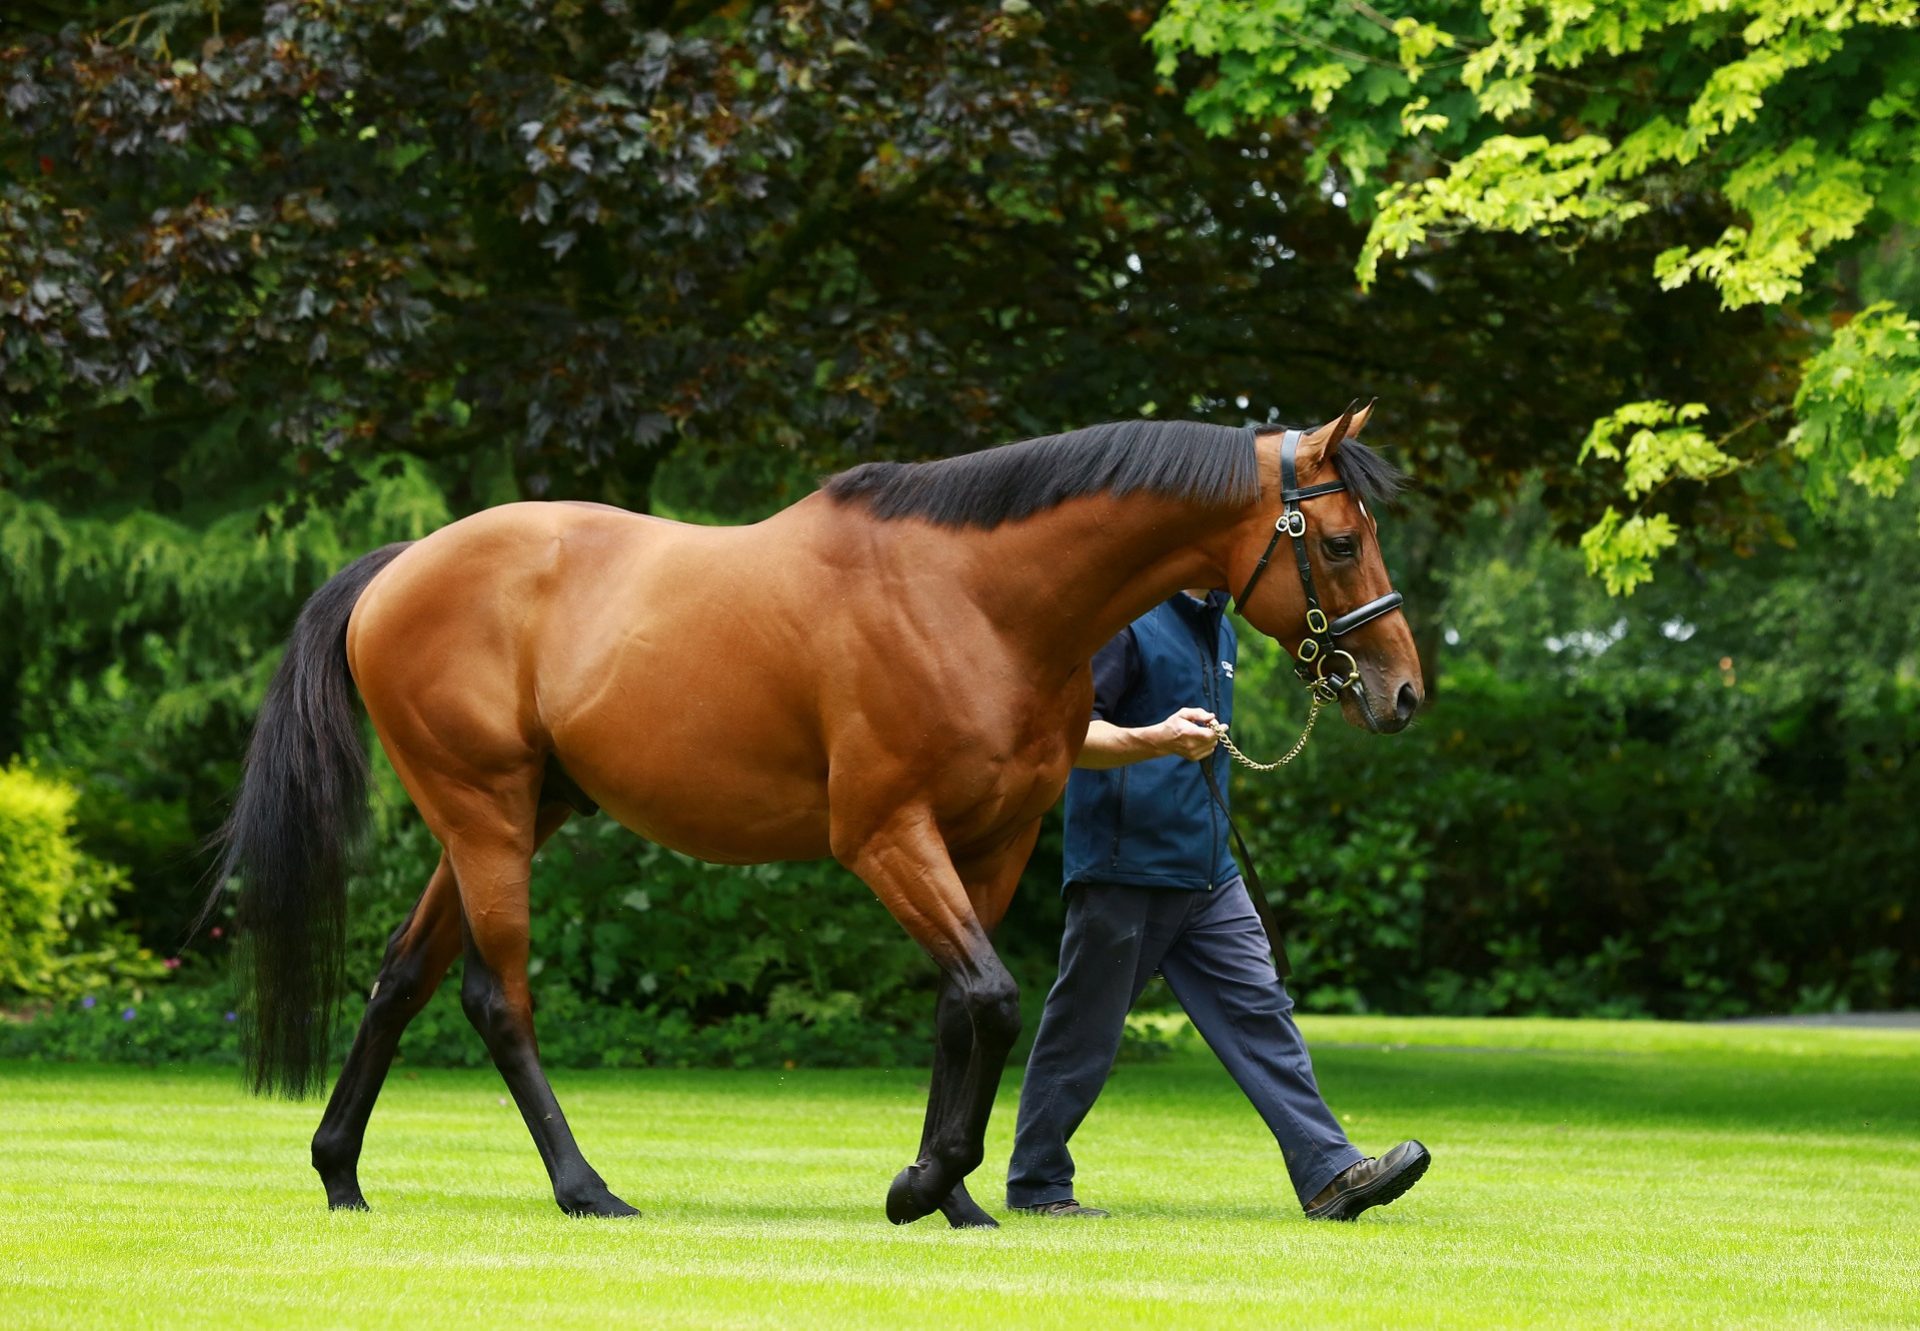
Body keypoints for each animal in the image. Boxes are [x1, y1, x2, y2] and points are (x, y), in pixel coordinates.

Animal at [202, 401, 1420, 1221]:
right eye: (1342, 538)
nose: (1404, 691)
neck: (979, 599)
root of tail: (403, 564)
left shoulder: (993, 842)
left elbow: (964, 1008)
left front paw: (952, 1196)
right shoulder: (883, 836)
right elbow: (991, 994)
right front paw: (923, 1182)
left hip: (512, 815)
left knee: (401, 978)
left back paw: (341, 1172)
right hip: (486, 814)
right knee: (495, 998)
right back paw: (586, 1187)